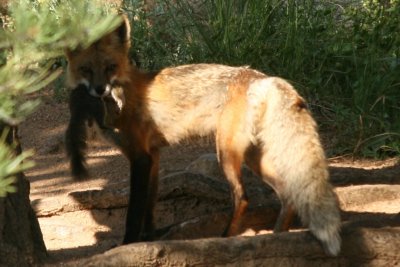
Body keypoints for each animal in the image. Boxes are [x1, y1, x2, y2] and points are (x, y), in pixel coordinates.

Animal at [65, 15, 340, 256]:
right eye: (86, 69)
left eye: (110, 67)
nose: (100, 90)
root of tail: (262, 78)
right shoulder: (154, 155)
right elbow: (150, 204)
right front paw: (149, 238)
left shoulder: (140, 157)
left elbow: (134, 212)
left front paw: (128, 244)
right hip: (254, 157)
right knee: (287, 195)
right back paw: (276, 237)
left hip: (226, 152)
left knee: (242, 197)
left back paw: (226, 239)